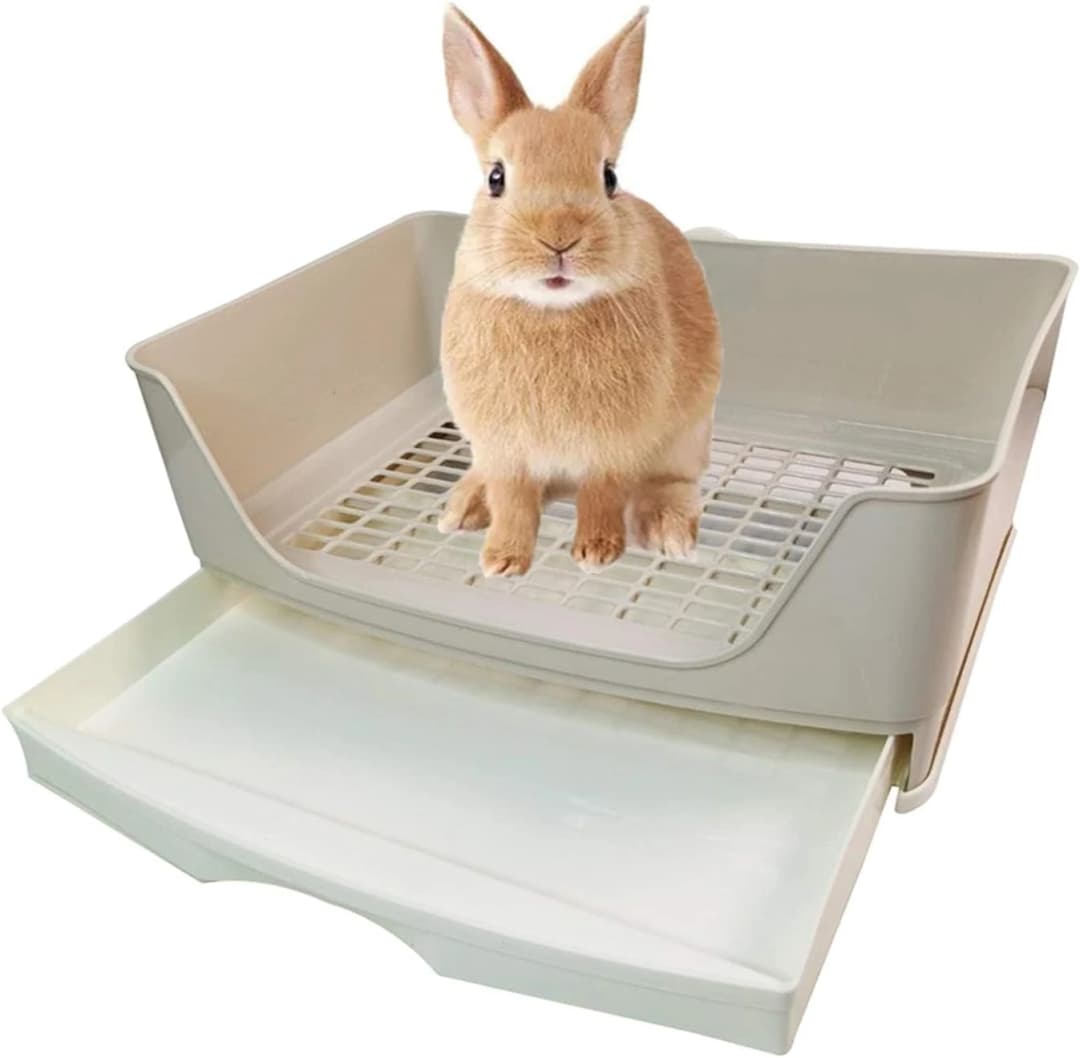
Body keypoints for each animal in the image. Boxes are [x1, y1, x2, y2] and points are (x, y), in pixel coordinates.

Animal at [439, 5, 721, 577]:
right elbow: (513, 502)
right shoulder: (504, 452)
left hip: (687, 436)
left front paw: (596, 552)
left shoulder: (612, 451)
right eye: (496, 178)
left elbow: (602, 495)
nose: (559, 236)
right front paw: (501, 560)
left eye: (609, 177)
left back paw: (668, 530)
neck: (551, 312)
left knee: (670, 482)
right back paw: (464, 506)